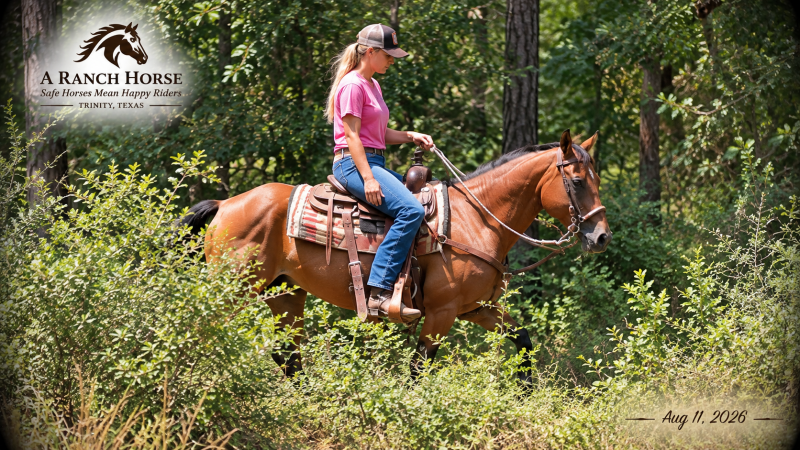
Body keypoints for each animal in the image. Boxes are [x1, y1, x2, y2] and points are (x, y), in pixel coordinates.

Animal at [180, 129, 611, 382]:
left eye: (597, 179)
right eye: (576, 182)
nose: (601, 236)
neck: (477, 219)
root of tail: (225, 204)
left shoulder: (477, 308)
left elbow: (522, 340)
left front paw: (523, 393)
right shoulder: (441, 313)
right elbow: (419, 368)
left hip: (285, 294)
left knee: (287, 356)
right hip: (233, 290)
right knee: (202, 333)